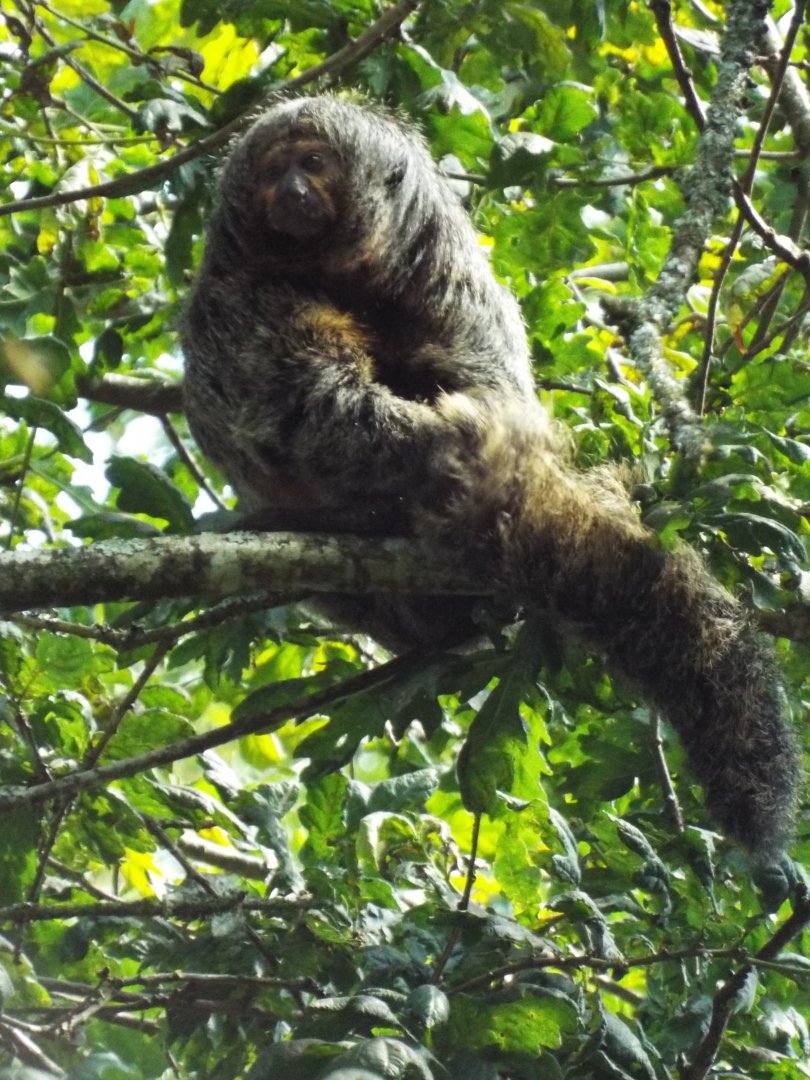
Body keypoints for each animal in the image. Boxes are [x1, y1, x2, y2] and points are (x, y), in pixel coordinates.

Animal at [182, 96, 801, 859]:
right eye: (275, 172)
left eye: (314, 163)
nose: (292, 191)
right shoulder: (240, 291)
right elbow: (299, 405)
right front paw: (444, 452)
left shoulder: (442, 268)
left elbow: (483, 377)